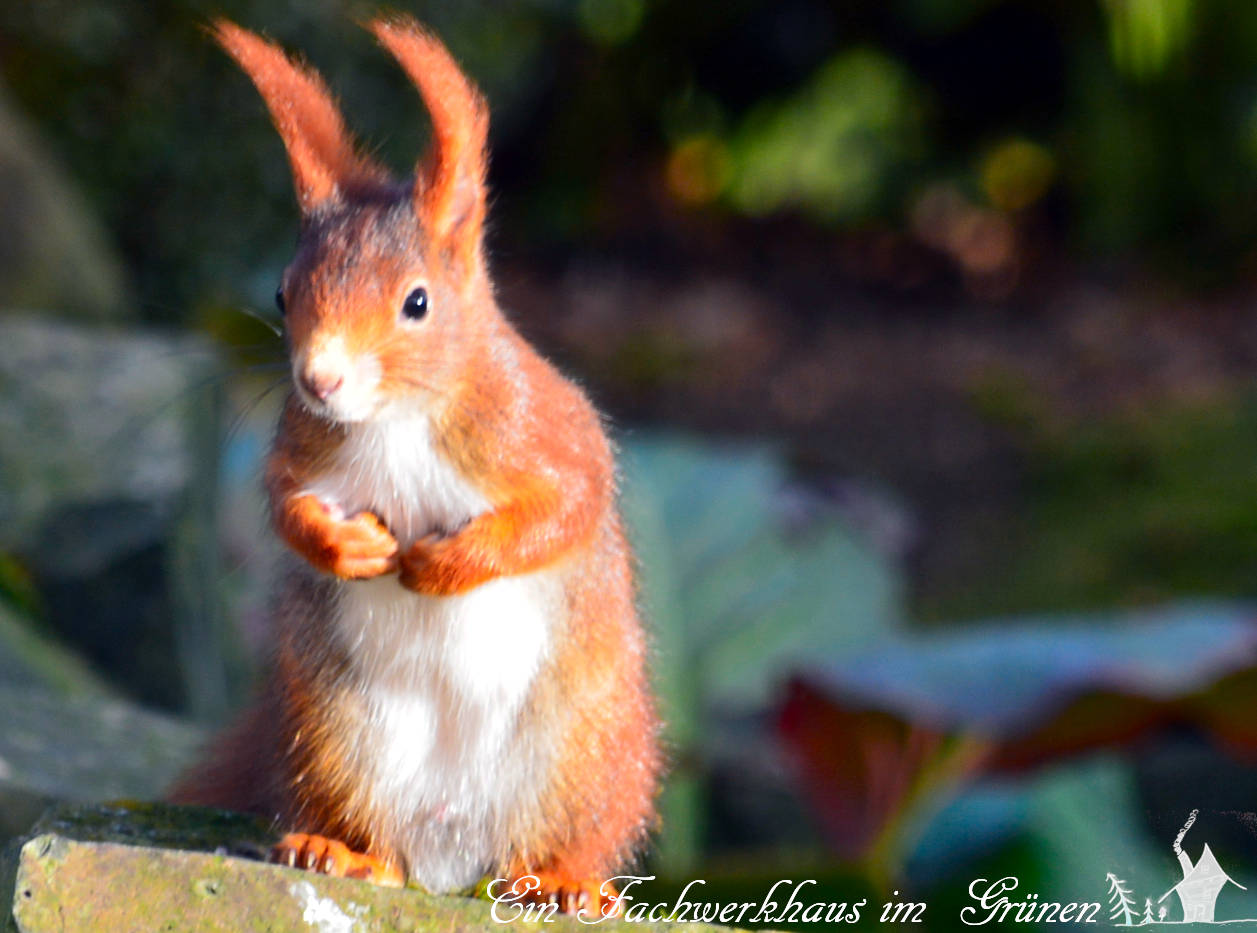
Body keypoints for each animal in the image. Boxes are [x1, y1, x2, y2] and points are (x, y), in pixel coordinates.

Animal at [170, 16, 663, 920]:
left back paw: (563, 882)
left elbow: (567, 506)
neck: (391, 422)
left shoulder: (540, 430)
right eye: (284, 292)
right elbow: (286, 507)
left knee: (565, 838)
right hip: (335, 735)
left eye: (418, 302)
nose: (319, 380)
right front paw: (346, 548)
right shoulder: (303, 450)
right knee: (379, 843)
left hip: (591, 754)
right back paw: (341, 851)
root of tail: (452, 852)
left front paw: (445, 563)